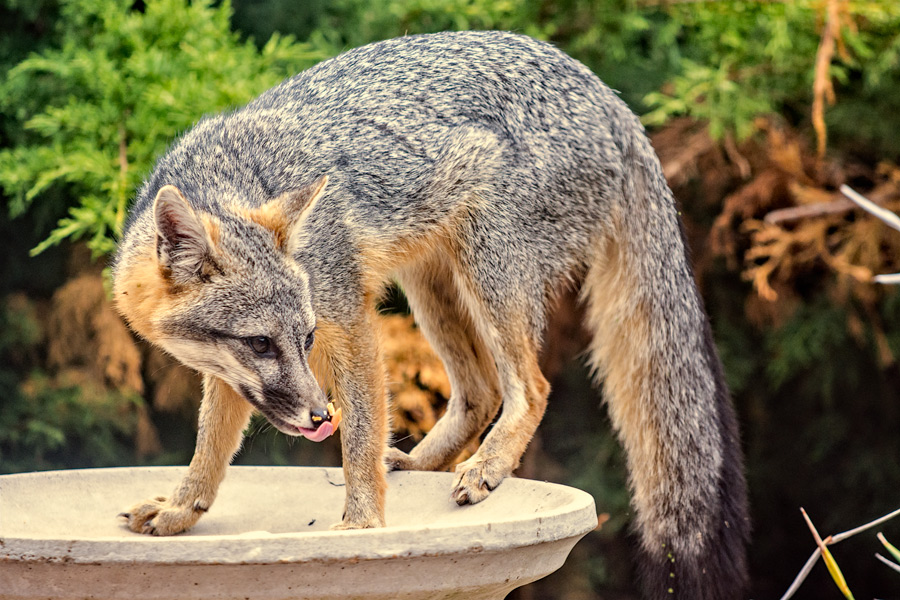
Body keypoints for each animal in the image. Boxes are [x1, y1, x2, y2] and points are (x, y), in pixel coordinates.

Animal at [113, 30, 749, 599]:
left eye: (306, 337)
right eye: (262, 344)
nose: (320, 418)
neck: (233, 175)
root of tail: (608, 96)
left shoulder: (350, 319)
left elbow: (361, 437)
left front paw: (361, 527)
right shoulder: (232, 374)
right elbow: (210, 451)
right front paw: (180, 511)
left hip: (488, 272)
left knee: (530, 387)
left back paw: (487, 465)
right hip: (431, 287)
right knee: (481, 393)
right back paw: (425, 463)